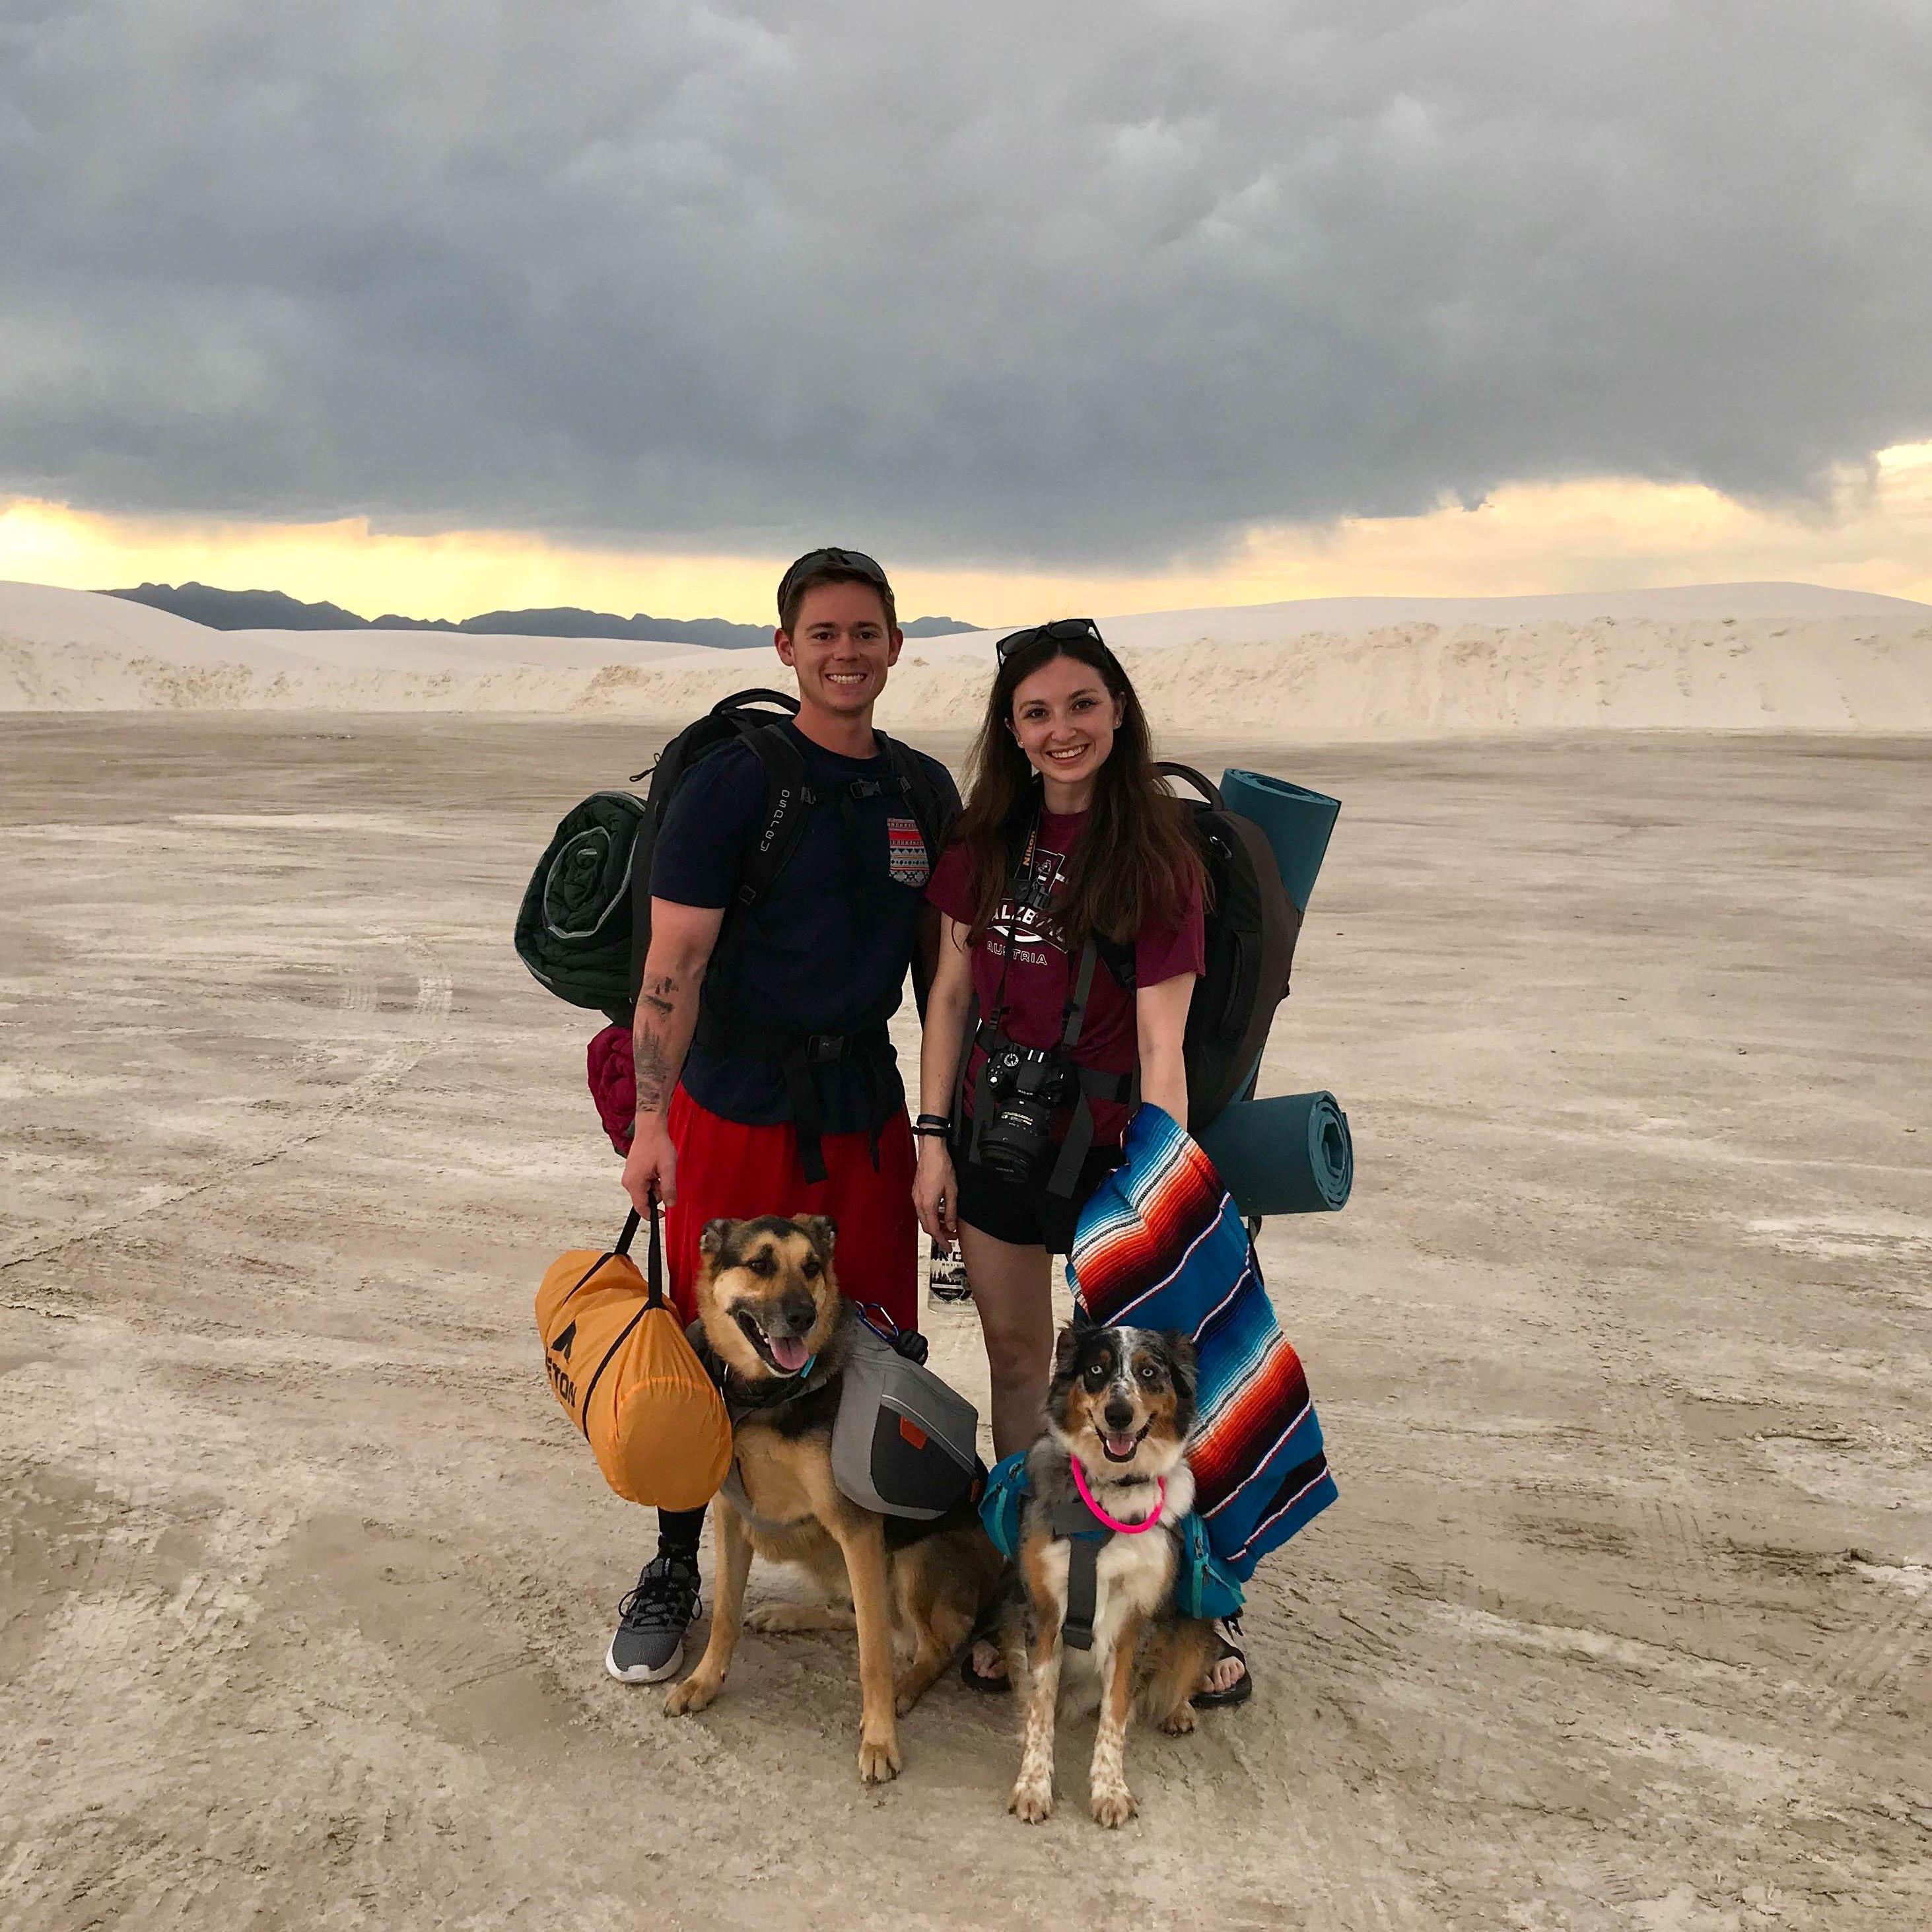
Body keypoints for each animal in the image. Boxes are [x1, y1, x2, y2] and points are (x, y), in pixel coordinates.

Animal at [664, 1213, 1004, 1785]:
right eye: (760, 1264)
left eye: (812, 1267)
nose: (802, 1317)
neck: (770, 1398)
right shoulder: (733, 1517)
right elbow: (726, 1615)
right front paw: (704, 1682)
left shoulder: (858, 1531)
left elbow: (872, 1657)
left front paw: (880, 1740)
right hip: (832, 1555)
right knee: (868, 1619)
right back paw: (788, 1616)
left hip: (914, 1560)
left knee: (927, 1644)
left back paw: (906, 1687)